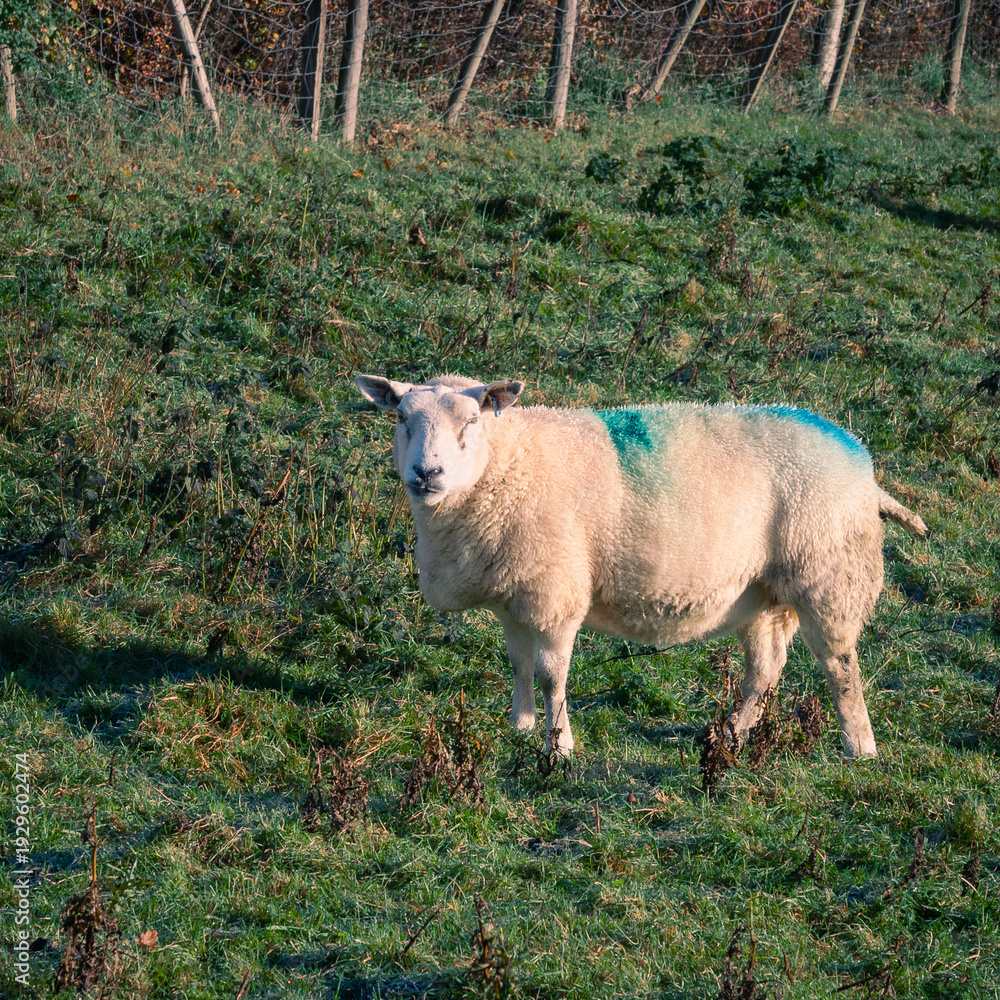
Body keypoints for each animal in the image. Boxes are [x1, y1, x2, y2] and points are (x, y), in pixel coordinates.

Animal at [354, 373, 927, 759]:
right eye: (401, 419)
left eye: (472, 421)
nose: (426, 473)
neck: (508, 462)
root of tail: (860, 460)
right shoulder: (516, 596)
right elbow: (518, 664)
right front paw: (521, 727)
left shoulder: (557, 592)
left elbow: (550, 674)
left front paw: (559, 746)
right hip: (765, 591)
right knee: (764, 670)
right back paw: (733, 737)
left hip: (827, 573)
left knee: (840, 665)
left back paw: (859, 747)